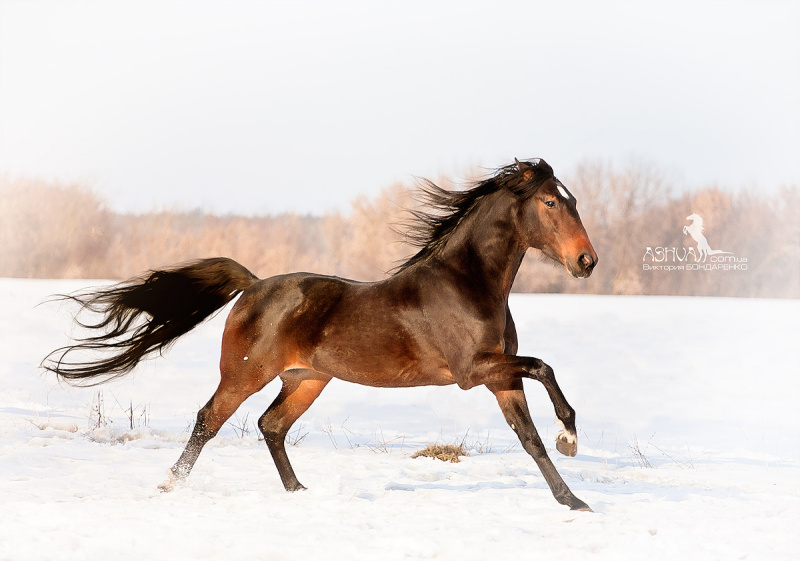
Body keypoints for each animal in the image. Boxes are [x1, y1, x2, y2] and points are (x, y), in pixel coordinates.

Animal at [40, 156, 596, 508]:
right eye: (551, 203)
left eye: (571, 201)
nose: (586, 262)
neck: (468, 284)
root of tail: (253, 285)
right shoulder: (471, 371)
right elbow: (545, 368)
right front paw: (570, 437)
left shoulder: (499, 376)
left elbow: (530, 438)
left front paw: (573, 500)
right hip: (246, 375)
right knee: (207, 420)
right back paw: (170, 487)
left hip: (307, 379)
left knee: (271, 425)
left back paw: (299, 492)